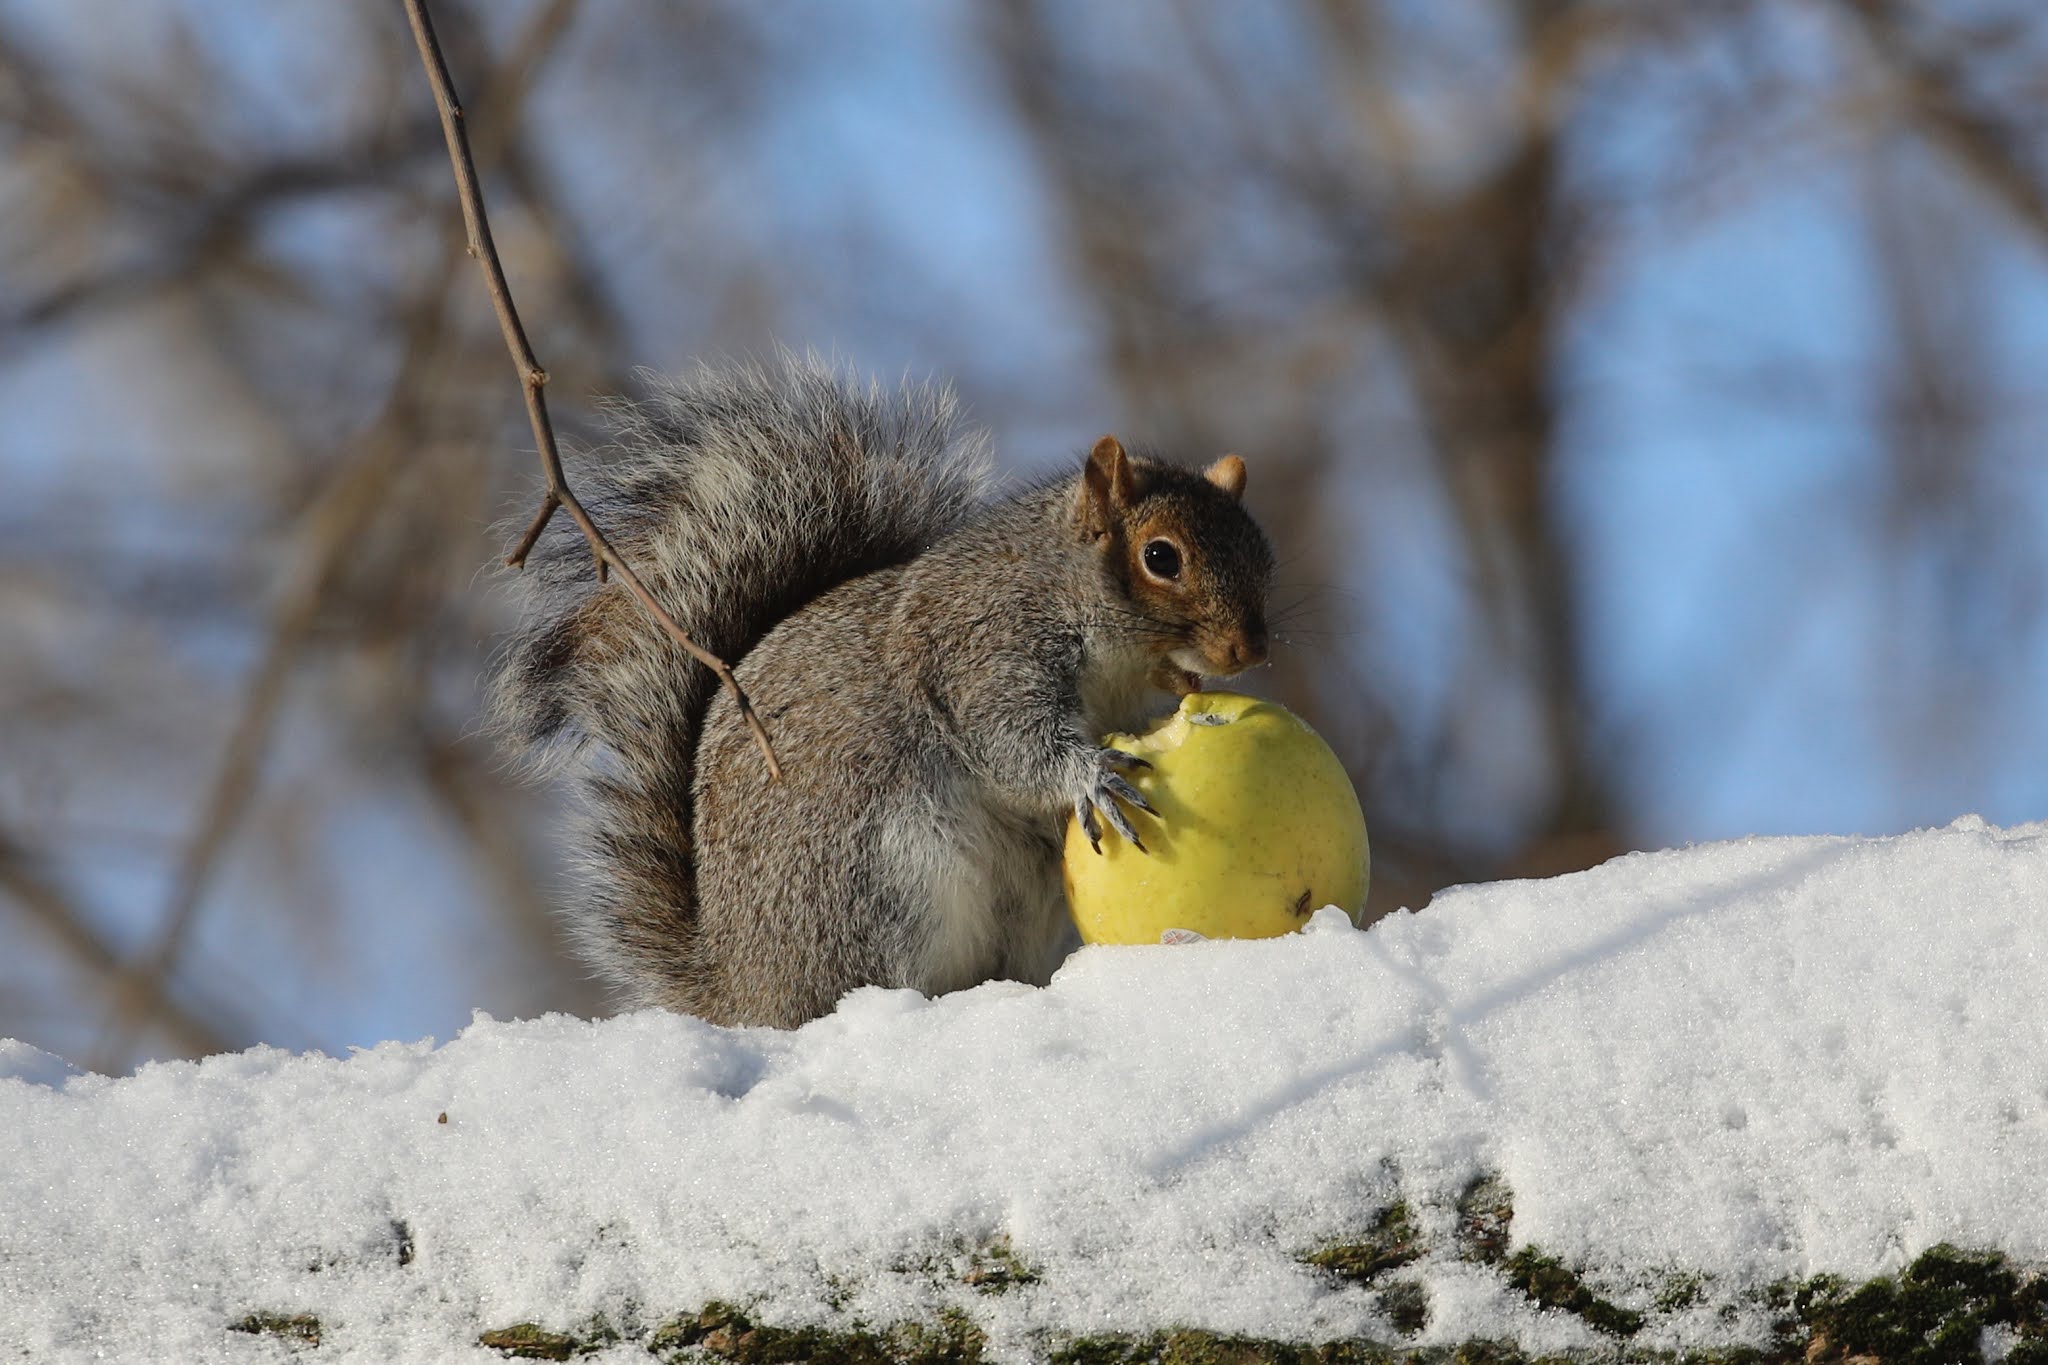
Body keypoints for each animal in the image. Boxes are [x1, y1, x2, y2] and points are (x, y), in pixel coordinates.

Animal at [491, 355, 1275, 1028]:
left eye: (1263, 554)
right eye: (1160, 557)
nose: (1249, 651)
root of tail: (746, 991)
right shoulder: (982, 649)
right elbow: (1012, 741)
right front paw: (1093, 776)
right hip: (879, 884)